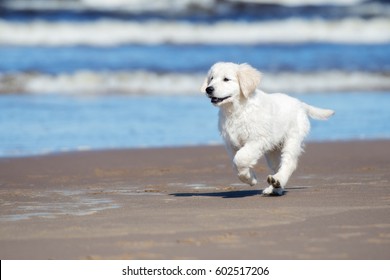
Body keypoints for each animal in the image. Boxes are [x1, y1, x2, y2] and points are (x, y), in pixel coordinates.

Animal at [203, 62, 334, 196]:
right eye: (211, 78)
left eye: (226, 79)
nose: (208, 89)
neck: (236, 110)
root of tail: (300, 104)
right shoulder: (231, 143)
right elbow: (236, 164)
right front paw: (249, 178)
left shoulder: (257, 139)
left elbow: (240, 158)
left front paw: (250, 178)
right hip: (273, 150)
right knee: (277, 166)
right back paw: (275, 187)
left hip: (292, 139)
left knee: (289, 163)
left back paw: (278, 181)